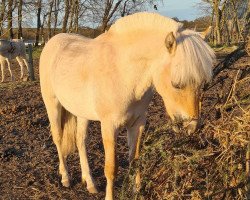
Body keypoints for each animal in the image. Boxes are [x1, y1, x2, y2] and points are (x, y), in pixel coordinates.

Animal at [39, 12, 215, 200]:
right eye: (176, 84)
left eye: (203, 83)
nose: (192, 126)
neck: (123, 71)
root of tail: (53, 41)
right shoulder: (109, 126)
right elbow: (111, 168)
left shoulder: (137, 123)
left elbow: (134, 159)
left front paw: (136, 190)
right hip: (53, 105)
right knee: (58, 138)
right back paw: (65, 177)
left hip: (82, 112)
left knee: (81, 141)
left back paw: (89, 182)